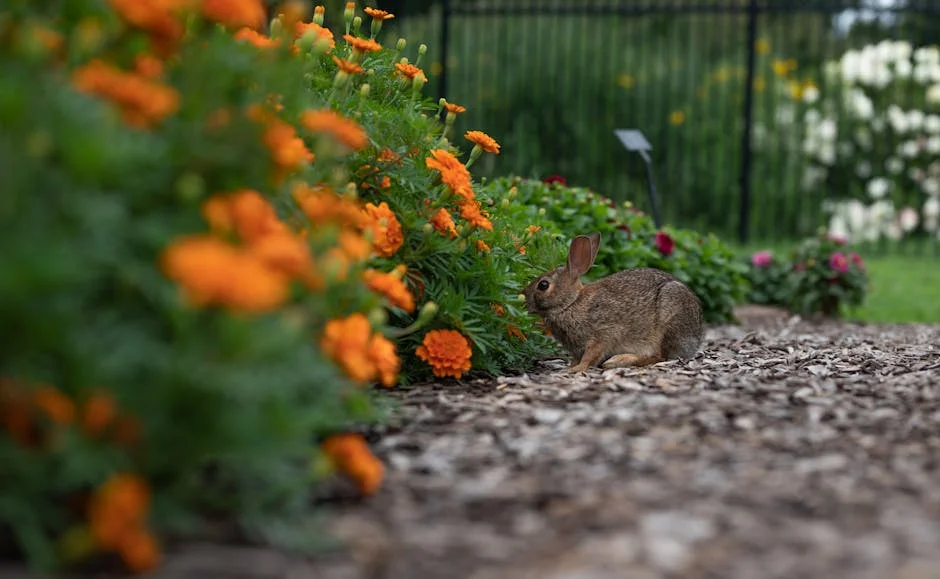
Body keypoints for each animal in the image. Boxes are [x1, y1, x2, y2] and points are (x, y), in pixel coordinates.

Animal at [522, 232, 704, 373]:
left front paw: (576, 369)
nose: (524, 299)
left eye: (543, 285)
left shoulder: (602, 336)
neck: (571, 303)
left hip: (668, 321)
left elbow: (590, 356)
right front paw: (569, 367)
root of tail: (697, 338)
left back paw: (618, 361)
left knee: (660, 357)